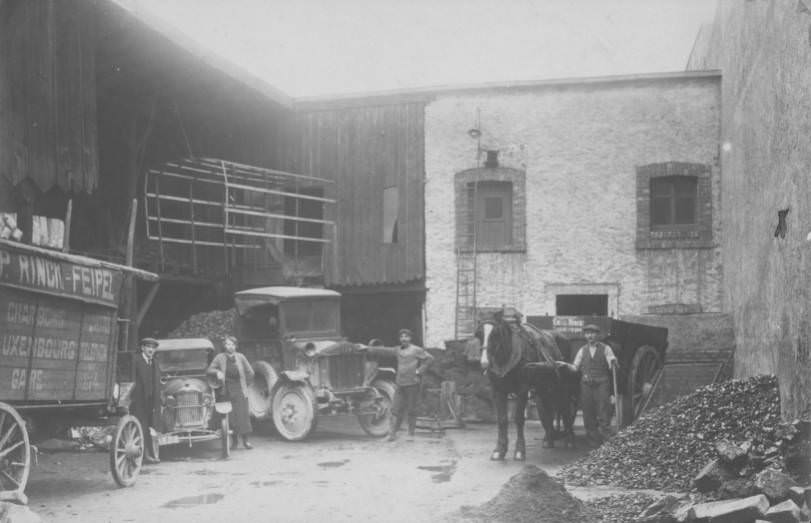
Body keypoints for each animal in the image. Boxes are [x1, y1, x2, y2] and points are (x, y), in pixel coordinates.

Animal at [478, 314, 580, 460]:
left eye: (496, 334)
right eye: (479, 334)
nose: (484, 363)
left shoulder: (522, 390)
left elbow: (519, 419)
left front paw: (519, 451)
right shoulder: (498, 391)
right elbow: (502, 419)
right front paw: (499, 450)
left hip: (563, 387)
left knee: (565, 409)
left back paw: (569, 439)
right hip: (545, 389)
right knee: (548, 411)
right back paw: (549, 438)